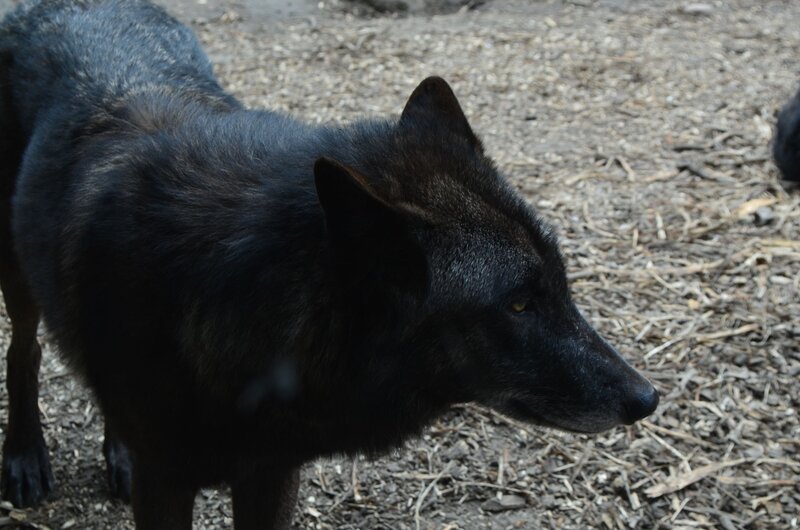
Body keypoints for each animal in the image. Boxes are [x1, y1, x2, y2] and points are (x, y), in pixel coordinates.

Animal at [0, 0, 658, 527]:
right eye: (519, 303)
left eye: (561, 285)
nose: (646, 398)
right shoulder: (169, 484)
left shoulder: (269, 472)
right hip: (17, 279)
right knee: (23, 352)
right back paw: (25, 458)